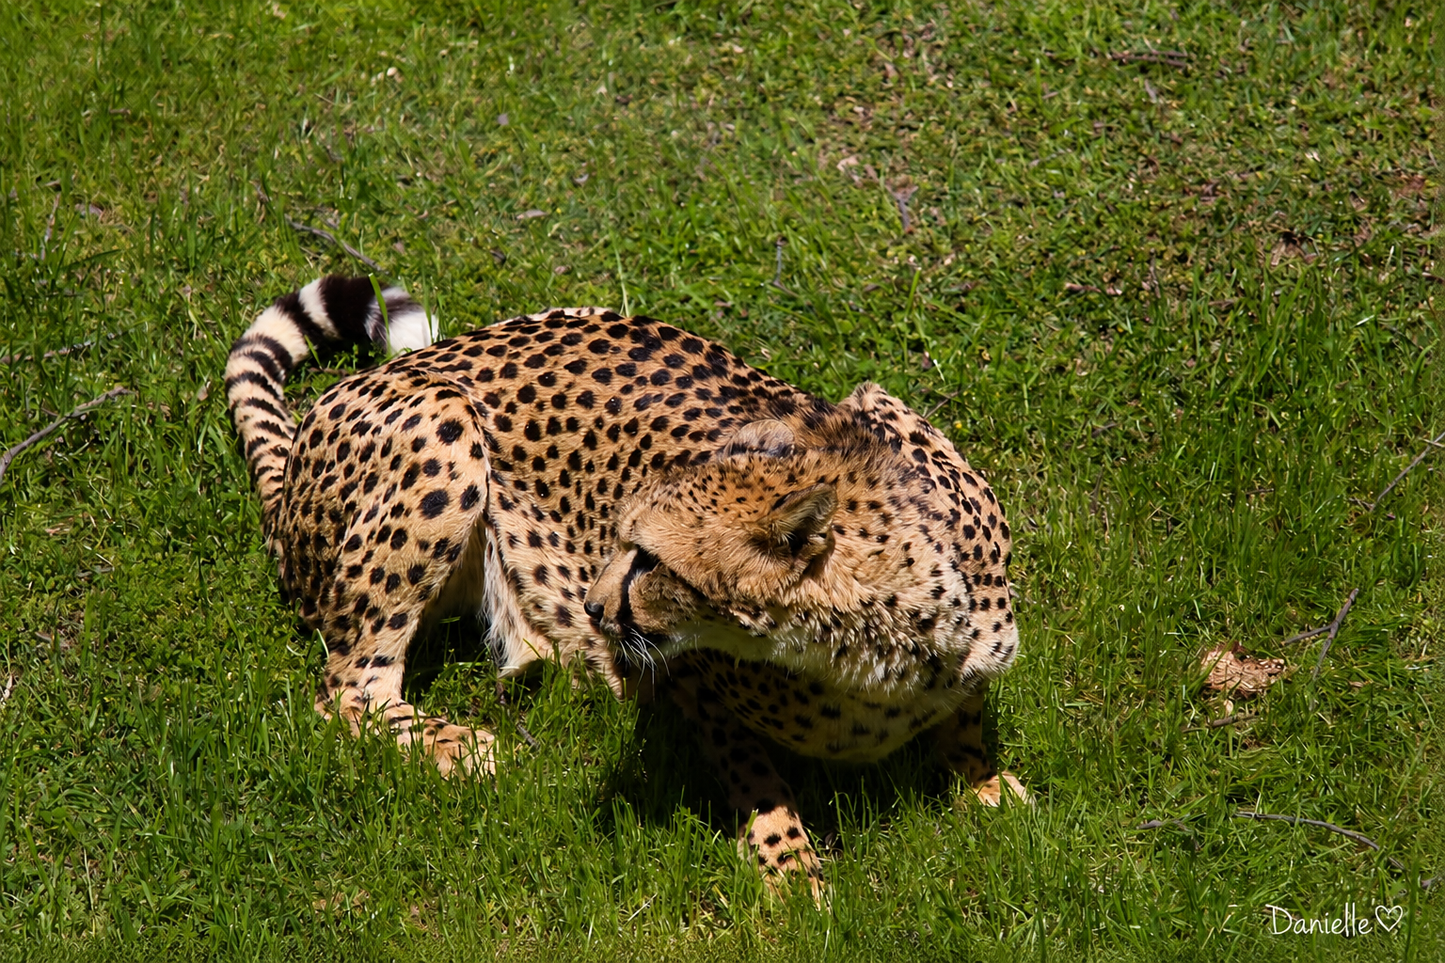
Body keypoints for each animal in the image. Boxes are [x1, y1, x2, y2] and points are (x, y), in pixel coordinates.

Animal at [225, 274, 1029, 894]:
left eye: (651, 560)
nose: (590, 605)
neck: (872, 647)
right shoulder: (686, 680)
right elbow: (753, 767)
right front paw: (789, 861)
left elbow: (967, 715)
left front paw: (986, 784)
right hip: (440, 422)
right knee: (347, 689)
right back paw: (478, 748)